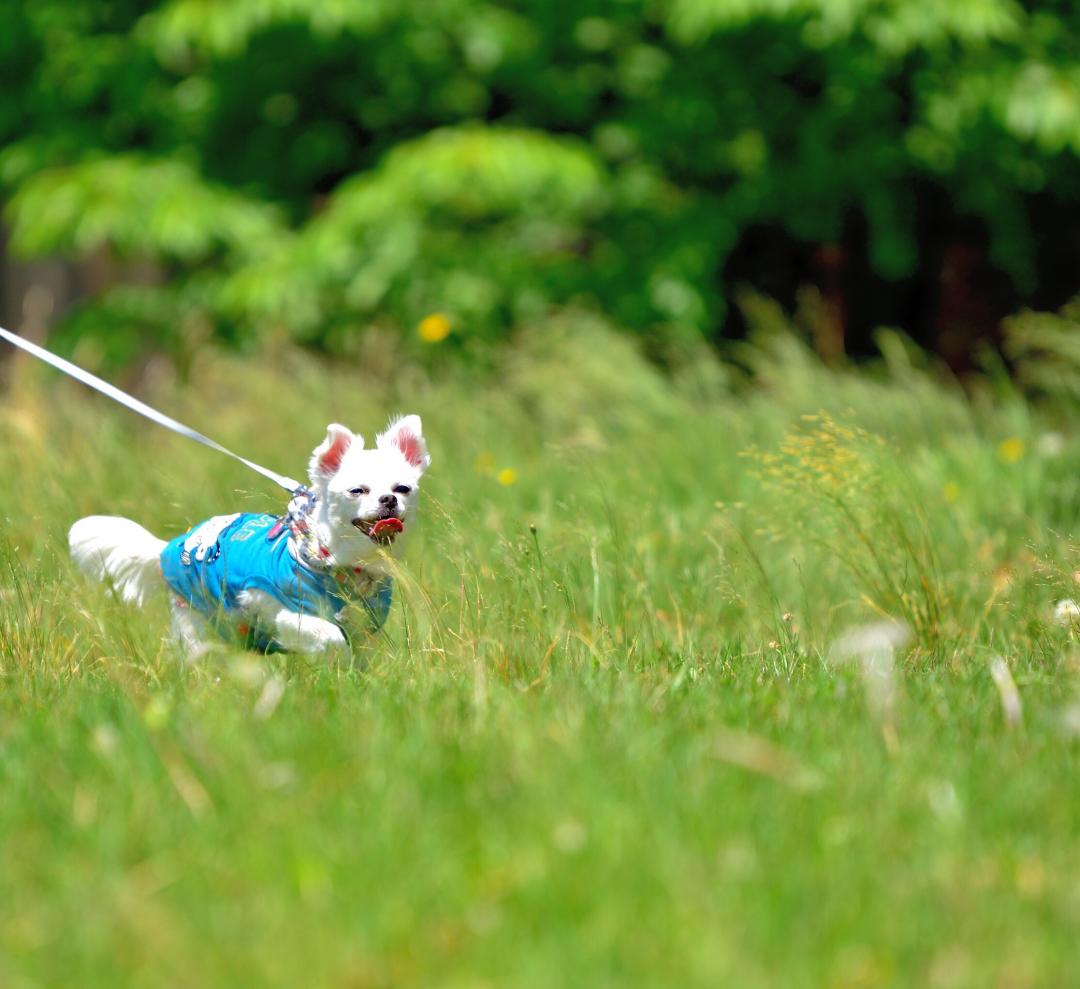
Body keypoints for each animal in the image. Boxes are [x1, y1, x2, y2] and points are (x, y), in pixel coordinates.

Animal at [66, 412, 429, 652]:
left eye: (403, 489)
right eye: (357, 491)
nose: (389, 500)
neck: (343, 565)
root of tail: (168, 548)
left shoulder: (364, 625)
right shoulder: (276, 608)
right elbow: (329, 634)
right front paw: (334, 655)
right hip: (195, 616)